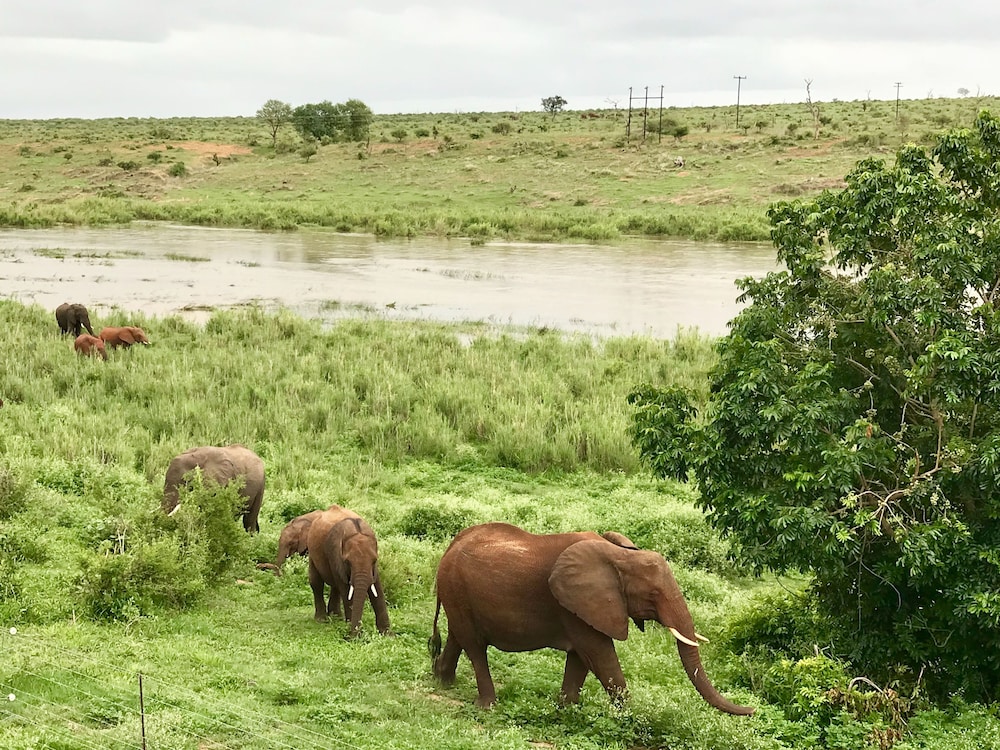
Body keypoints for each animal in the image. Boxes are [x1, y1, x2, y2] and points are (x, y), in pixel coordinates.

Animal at [307, 505, 391, 638]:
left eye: (374, 560)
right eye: (347, 562)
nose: (351, 636)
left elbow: (377, 588)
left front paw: (388, 635)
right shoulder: (335, 554)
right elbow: (347, 590)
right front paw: (354, 636)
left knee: (335, 586)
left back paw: (336, 617)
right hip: (312, 551)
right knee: (317, 582)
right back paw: (322, 619)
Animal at [430, 522, 754, 715]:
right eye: (652, 595)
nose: (752, 710)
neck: (620, 555)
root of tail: (451, 545)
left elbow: (581, 659)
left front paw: (567, 711)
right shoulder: (574, 606)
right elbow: (600, 656)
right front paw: (632, 718)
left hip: (457, 592)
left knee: (458, 636)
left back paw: (442, 681)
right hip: (456, 586)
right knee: (475, 647)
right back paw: (487, 706)